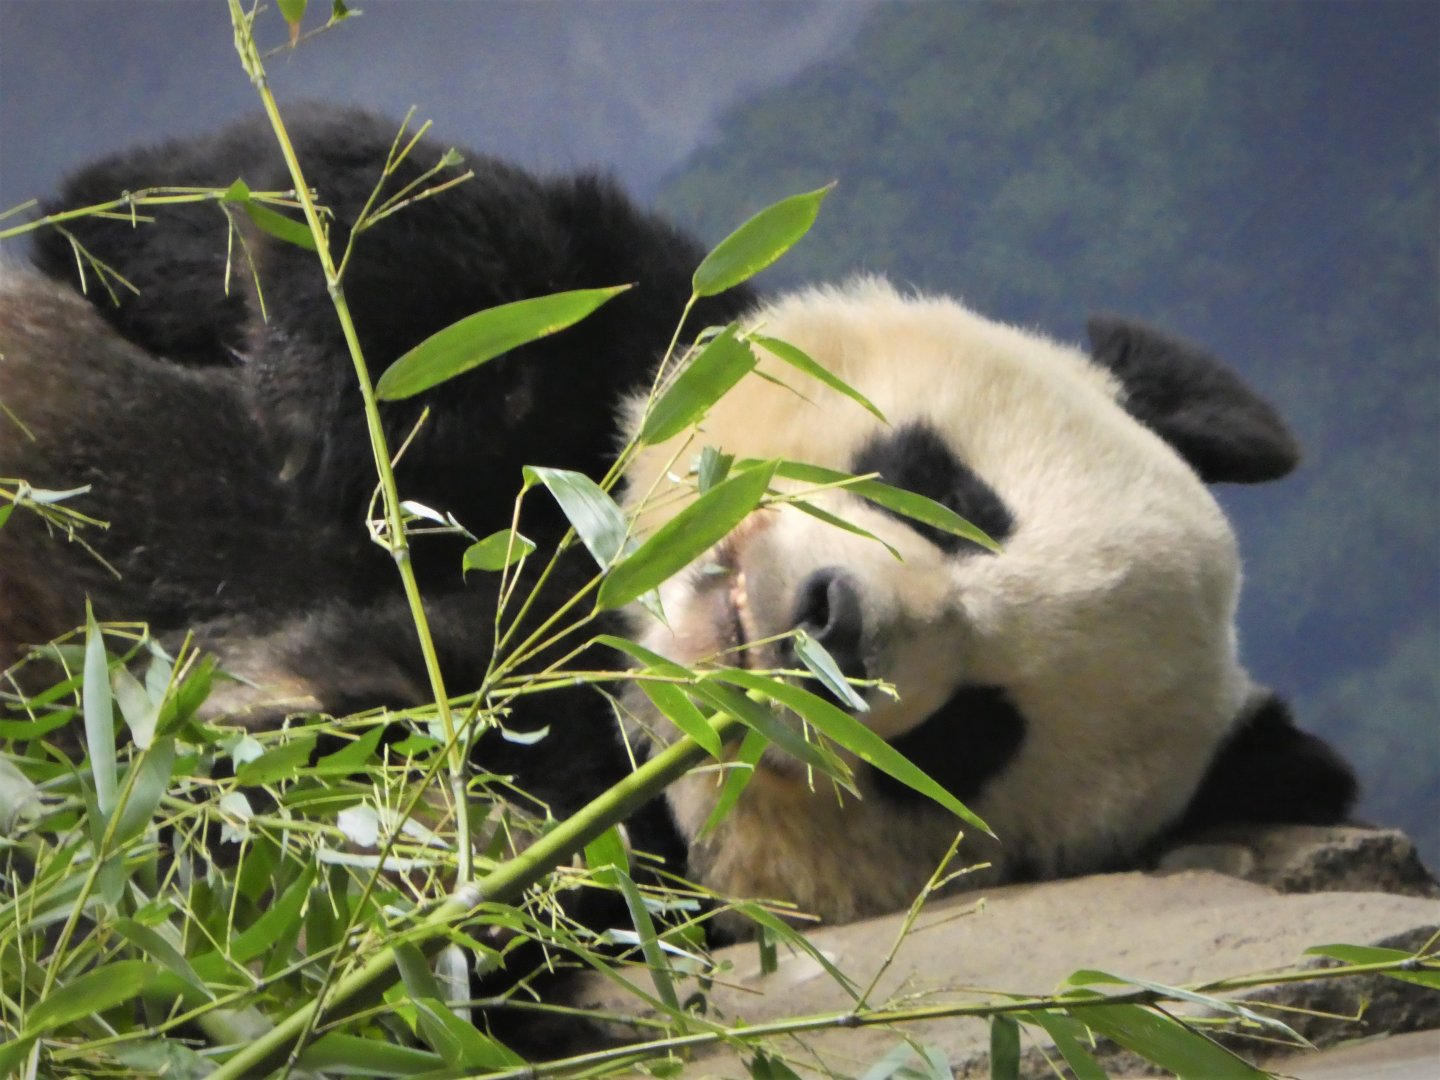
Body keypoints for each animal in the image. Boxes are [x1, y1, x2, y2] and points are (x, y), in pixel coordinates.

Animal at [0, 108, 1355, 944]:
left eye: (975, 734)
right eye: (947, 494)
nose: (829, 623)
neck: (616, 629)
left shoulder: (610, 836)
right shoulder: (620, 344)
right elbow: (249, 206)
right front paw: (339, 416)